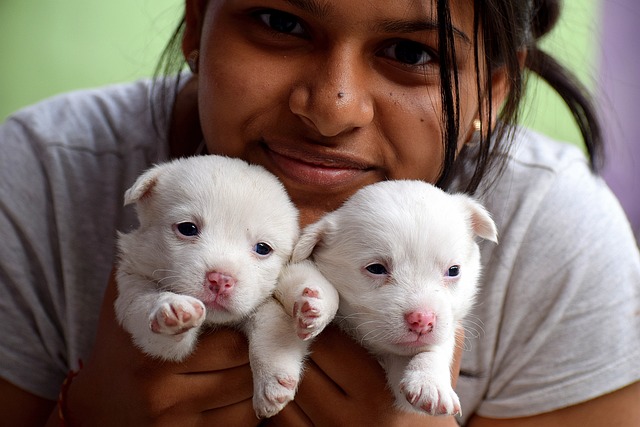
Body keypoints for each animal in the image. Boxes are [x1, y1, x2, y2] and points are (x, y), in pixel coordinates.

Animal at [114, 156, 322, 418]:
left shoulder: (262, 304)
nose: (220, 279)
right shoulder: (132, 285)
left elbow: (271, 326)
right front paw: (171, 308)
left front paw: (273, 379)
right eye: (187, 228)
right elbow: (146, 307)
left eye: (262, 248)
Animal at [288, 181, 498, 418]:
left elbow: (436, 347)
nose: (423, 320)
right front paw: (317, 306)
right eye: (376, 269)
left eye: (453, 270)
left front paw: (430, 382)